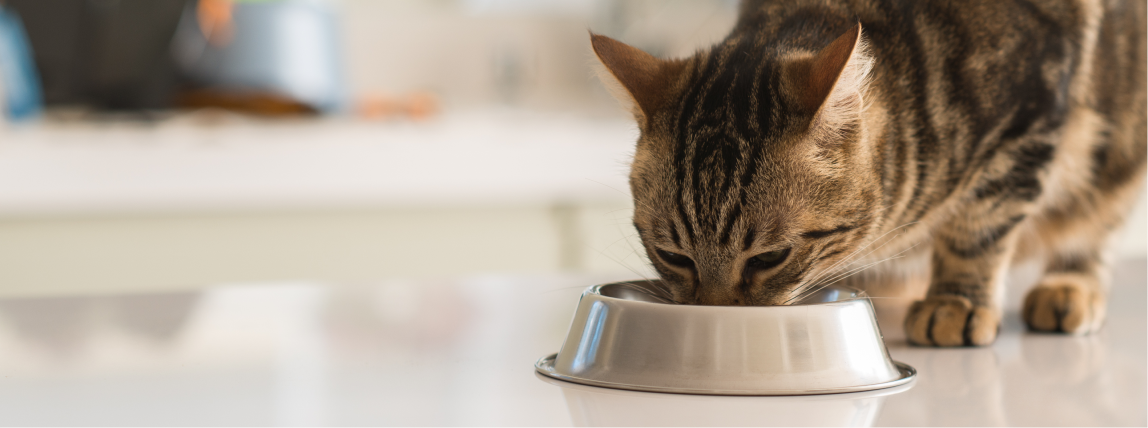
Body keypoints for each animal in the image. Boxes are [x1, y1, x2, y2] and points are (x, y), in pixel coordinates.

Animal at [592, 0, 1148, 344]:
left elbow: (979, 228)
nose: (715, 317)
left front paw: (956, 300)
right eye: (673, 256)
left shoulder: (1029, 118)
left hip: (1117, 153)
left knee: (1091, 229)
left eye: (769, 258)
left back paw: (1069, 286)